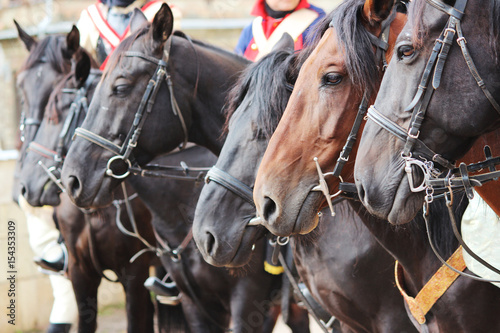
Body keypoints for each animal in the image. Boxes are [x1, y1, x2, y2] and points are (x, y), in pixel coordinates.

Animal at [18, 50, 159, 332]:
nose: (26, 186)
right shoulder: (80, 271)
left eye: (55, 113)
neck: (96, 211)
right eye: (22, 91)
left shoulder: (135, 272)